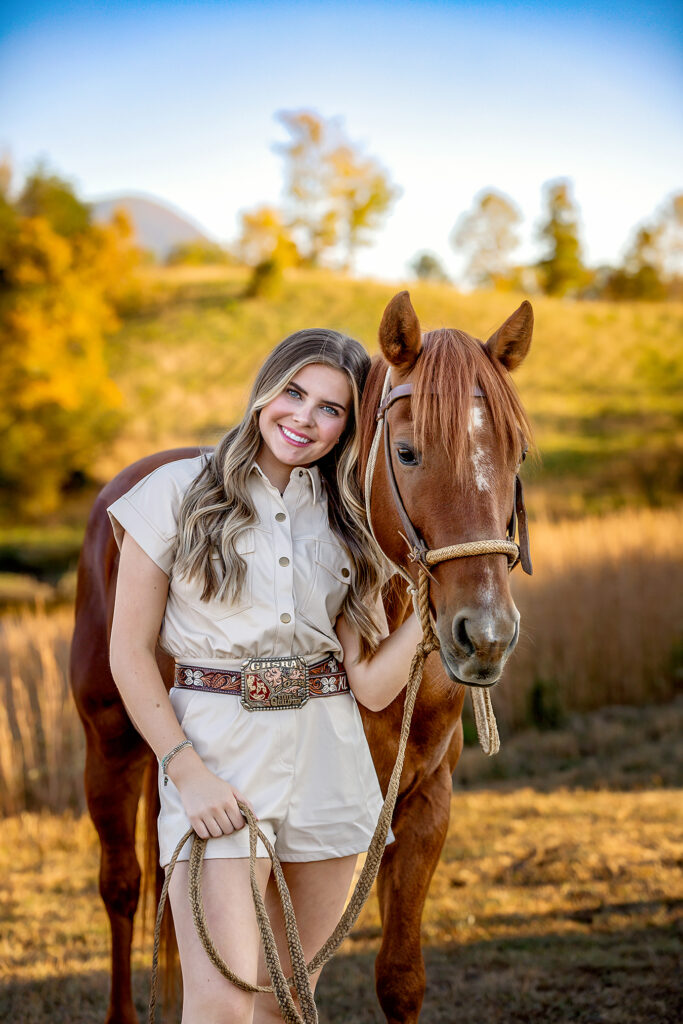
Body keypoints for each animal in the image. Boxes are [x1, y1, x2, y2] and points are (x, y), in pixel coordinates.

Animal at [70, 290, 532, 1024]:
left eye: (516, 455)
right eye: (407, 452)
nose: (484, 632)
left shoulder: (423, 806)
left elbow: (396, 978)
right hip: (110, 746)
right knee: (121, 886)